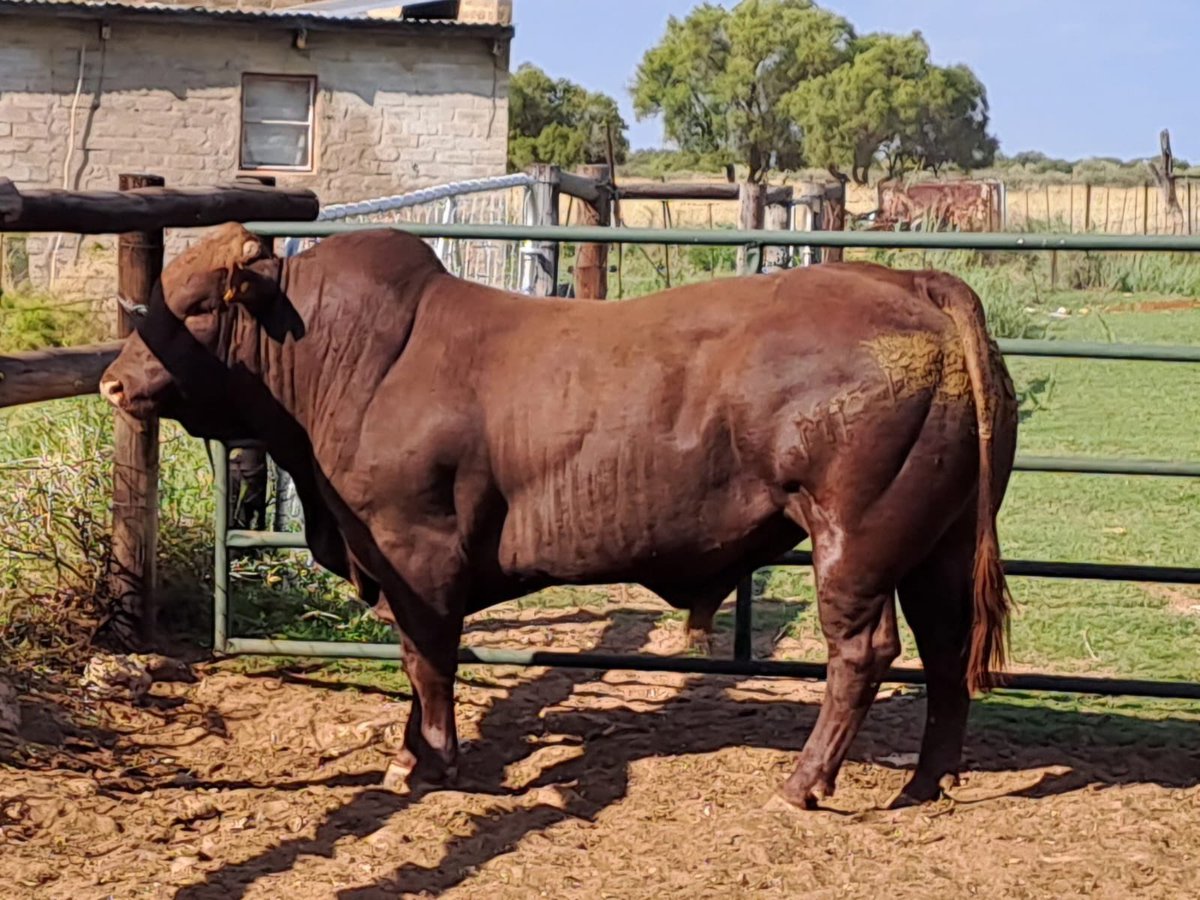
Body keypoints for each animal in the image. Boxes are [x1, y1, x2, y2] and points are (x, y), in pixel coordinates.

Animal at [99, 224, 1019, 810]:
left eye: (198, 305)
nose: (112, 381)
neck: (348, 357)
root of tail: (908, 281)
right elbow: (416, 661)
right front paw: (410, 754)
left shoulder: (416, 550)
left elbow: (428, 660)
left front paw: (434, 761)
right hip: (936, 544)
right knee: (945, 652)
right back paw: (926, 781)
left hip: (855, 541)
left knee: (863, 654)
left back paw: (804, 783)